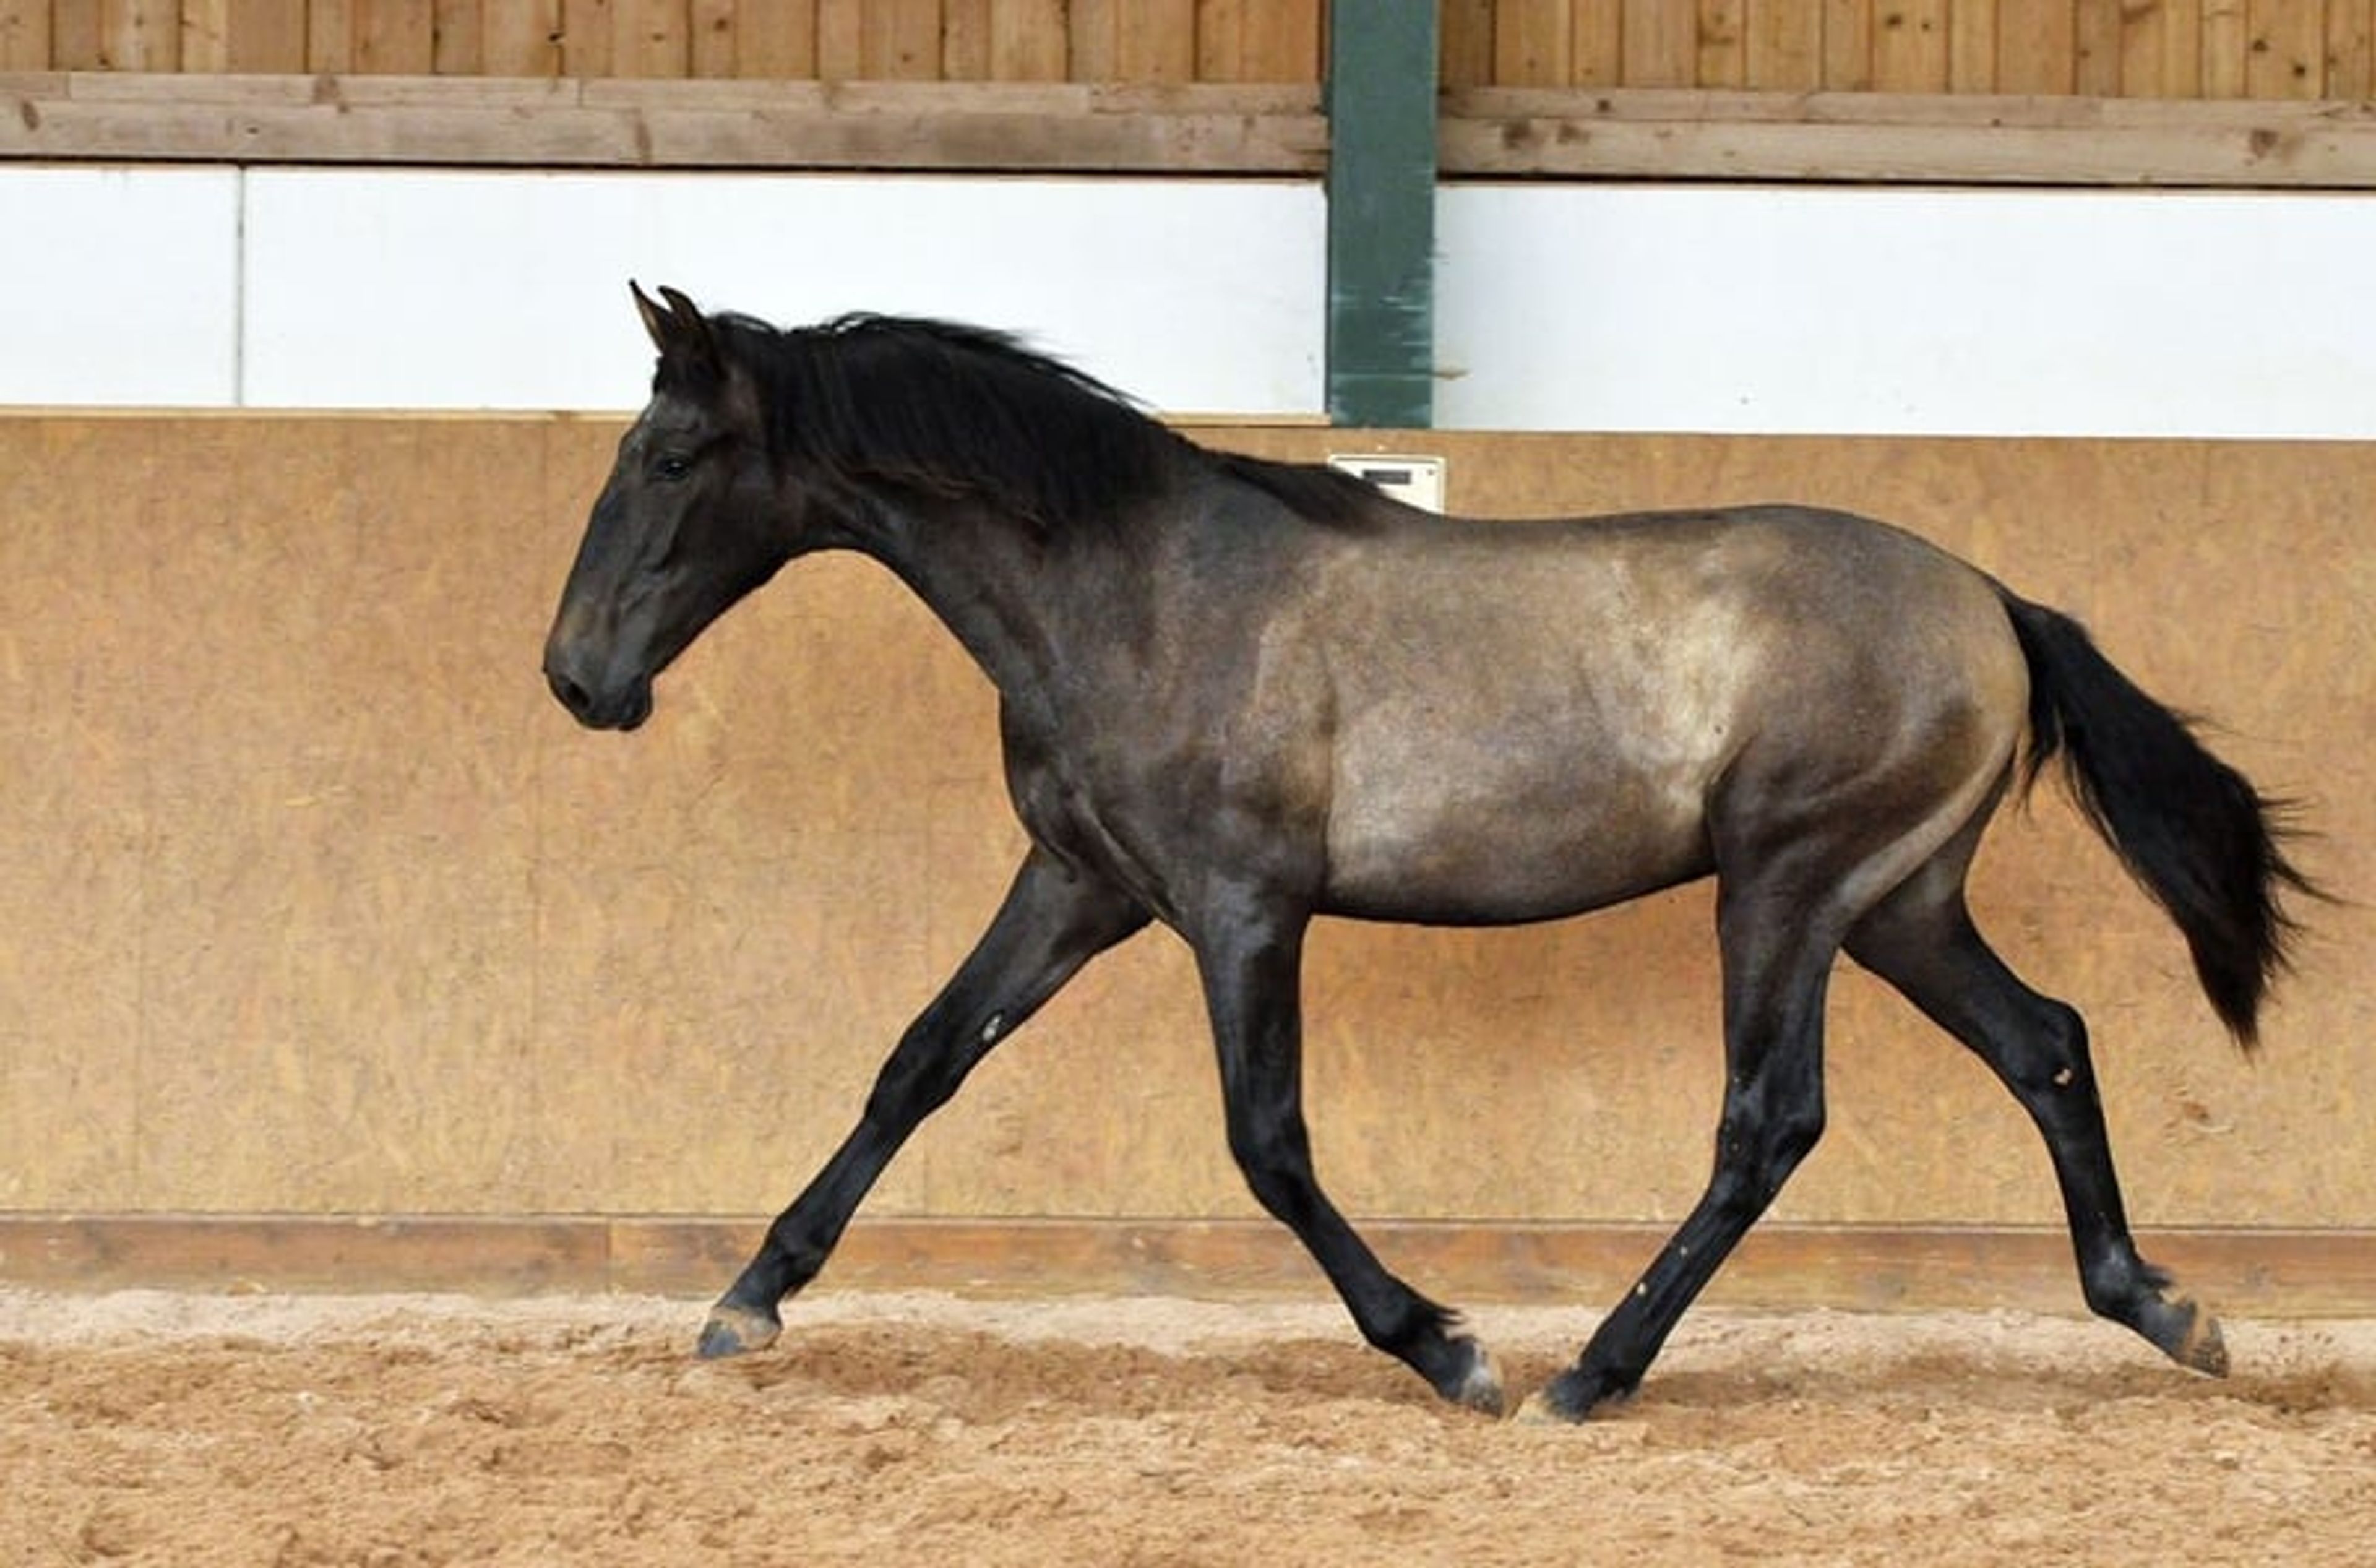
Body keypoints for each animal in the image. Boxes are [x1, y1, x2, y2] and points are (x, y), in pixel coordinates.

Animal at [542, 283, 2312, 1422]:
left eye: (673, 458)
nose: (576, 679)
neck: (1137, 592)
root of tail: (1990, 603)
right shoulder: (1084, 887)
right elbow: (916, 1064)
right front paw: (746, 1301)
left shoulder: (1244, 909)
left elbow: (1267, 1142)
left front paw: (1446, 1349)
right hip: (1898, 906)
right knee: (2046, 1045)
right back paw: (2165, 1309)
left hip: (1789, 890)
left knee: (1770, 1121)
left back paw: (1589, 1373)